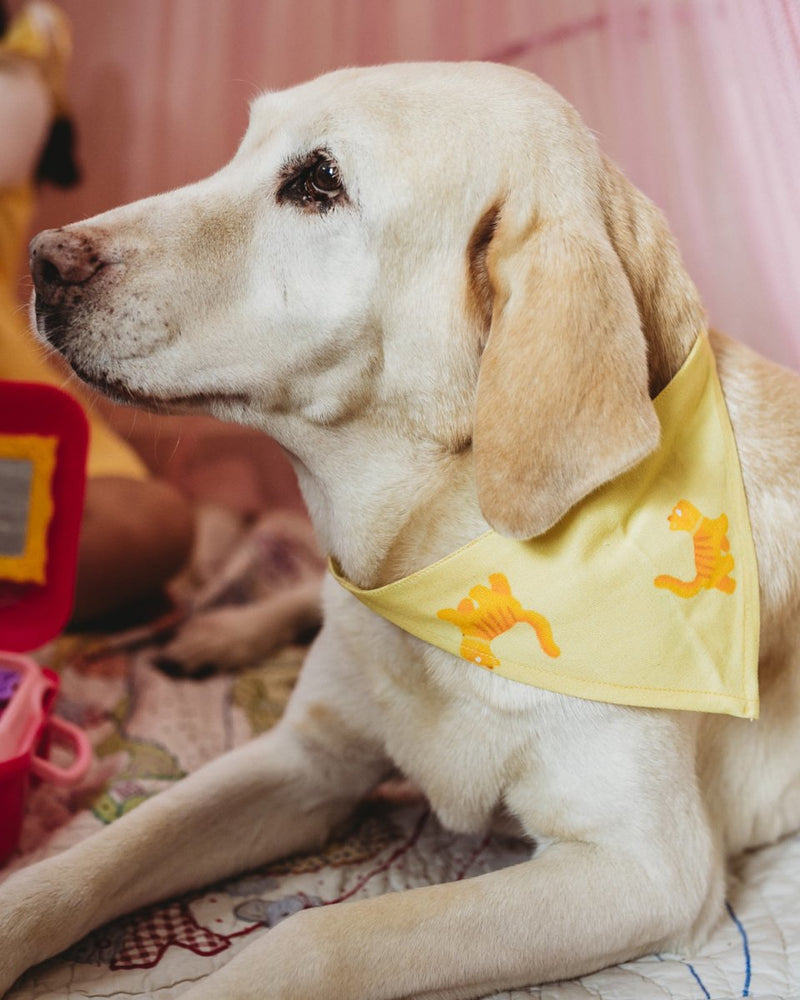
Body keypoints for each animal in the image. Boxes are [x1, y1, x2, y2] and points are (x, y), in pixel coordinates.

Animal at [4, 62, 800, 1000]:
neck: (438, 555)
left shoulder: (646, 869)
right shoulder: (303, 760)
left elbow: (316, 939)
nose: (42, 257)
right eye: (241, 150)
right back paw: (221, 632)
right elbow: (98, 856)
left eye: (319, 182)